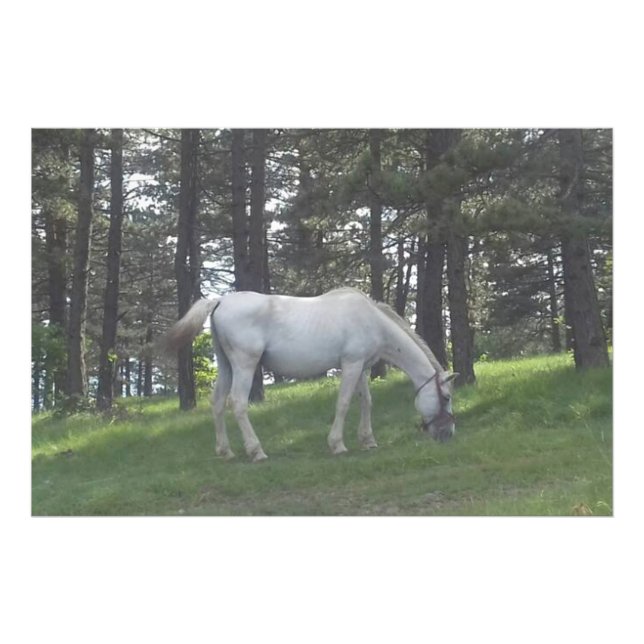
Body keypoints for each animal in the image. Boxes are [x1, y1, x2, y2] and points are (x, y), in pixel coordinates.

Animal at [162, 287, 458, 462]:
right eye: (446, 397)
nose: (448, 434)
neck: (372, 320)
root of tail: (220, 300)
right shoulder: (351, 365)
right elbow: (344, 403)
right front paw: (337, 444)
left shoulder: (361, 366)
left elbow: (366, 402)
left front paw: (368, 440)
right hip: (244, 365)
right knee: (237, 403)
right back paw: (256, 451)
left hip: (226, 366)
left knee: (217, 403)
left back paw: (226, 451)